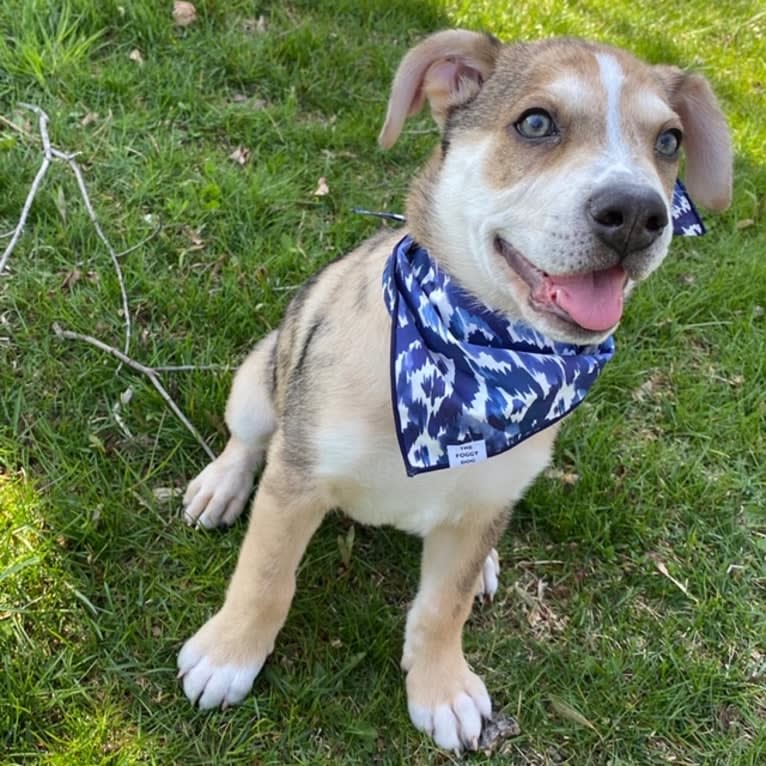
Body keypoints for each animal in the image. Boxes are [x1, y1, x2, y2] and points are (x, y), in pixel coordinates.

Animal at [177, 28, 736, 752]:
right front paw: (229, 654)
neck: (479, 360)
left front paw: (441, 688)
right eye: (536, 123)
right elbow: (267, 576)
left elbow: (444, 605)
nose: (639, 214)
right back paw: (220, 486)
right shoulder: (297, 479)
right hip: (259, 376)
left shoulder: (484, 501)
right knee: (247, 440)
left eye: (668, 141)